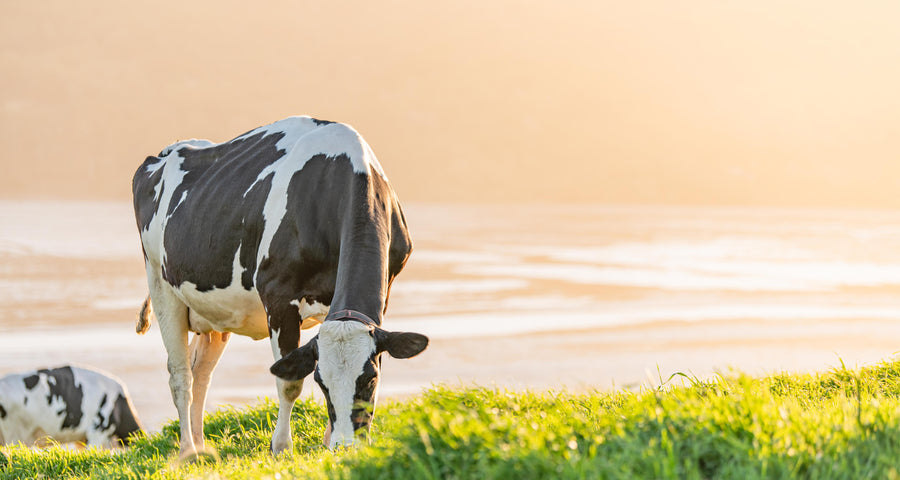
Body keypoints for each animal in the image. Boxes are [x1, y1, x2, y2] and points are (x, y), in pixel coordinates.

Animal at [132, 116, 430, 458]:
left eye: (370, 379)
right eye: (322, 383)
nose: (345, 447)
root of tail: (168, 150)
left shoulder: (383, 292)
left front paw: (326, 442)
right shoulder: (278, 296)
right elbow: (289, 383)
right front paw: (282, 447)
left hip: (214, 312)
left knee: (200, 372)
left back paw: (203, 446)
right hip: (161, 285)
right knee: (181, 376)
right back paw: (188, 452)